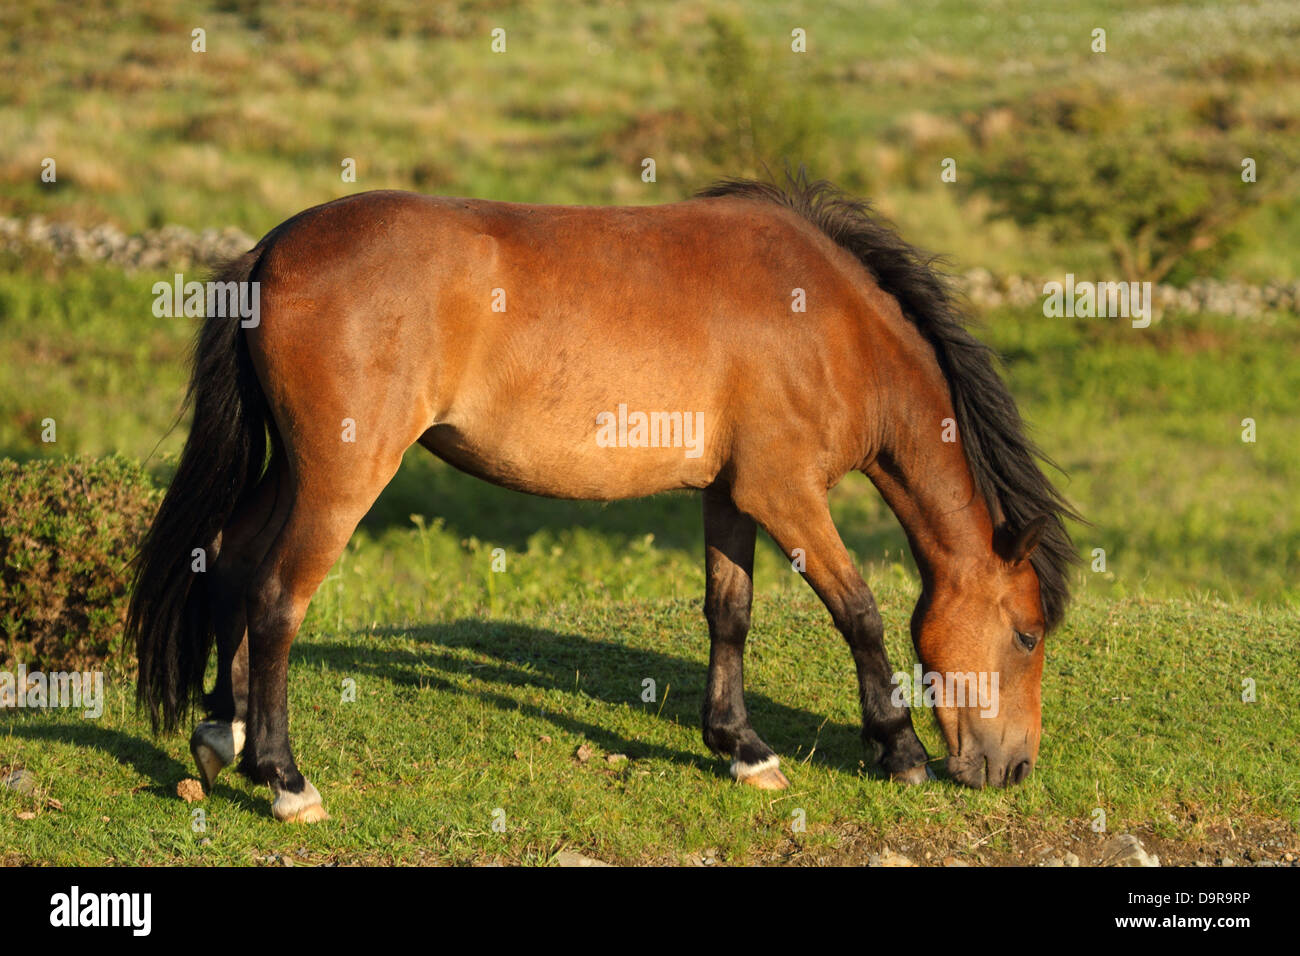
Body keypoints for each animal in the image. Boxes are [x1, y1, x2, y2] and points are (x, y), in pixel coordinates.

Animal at [128, 171, 1079, 823]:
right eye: (1026, 635)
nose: (1016, 769)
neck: (827, 320)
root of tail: (269, 252)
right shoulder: (788, 494)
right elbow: (861, 614)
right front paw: (898, 747)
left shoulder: (731, 493)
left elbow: (729, 613)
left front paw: (741, 748)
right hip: (339, 480)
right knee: (276, 601)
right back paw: (285, 780)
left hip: (290, 471)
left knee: (230, 563)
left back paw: (221, 735)